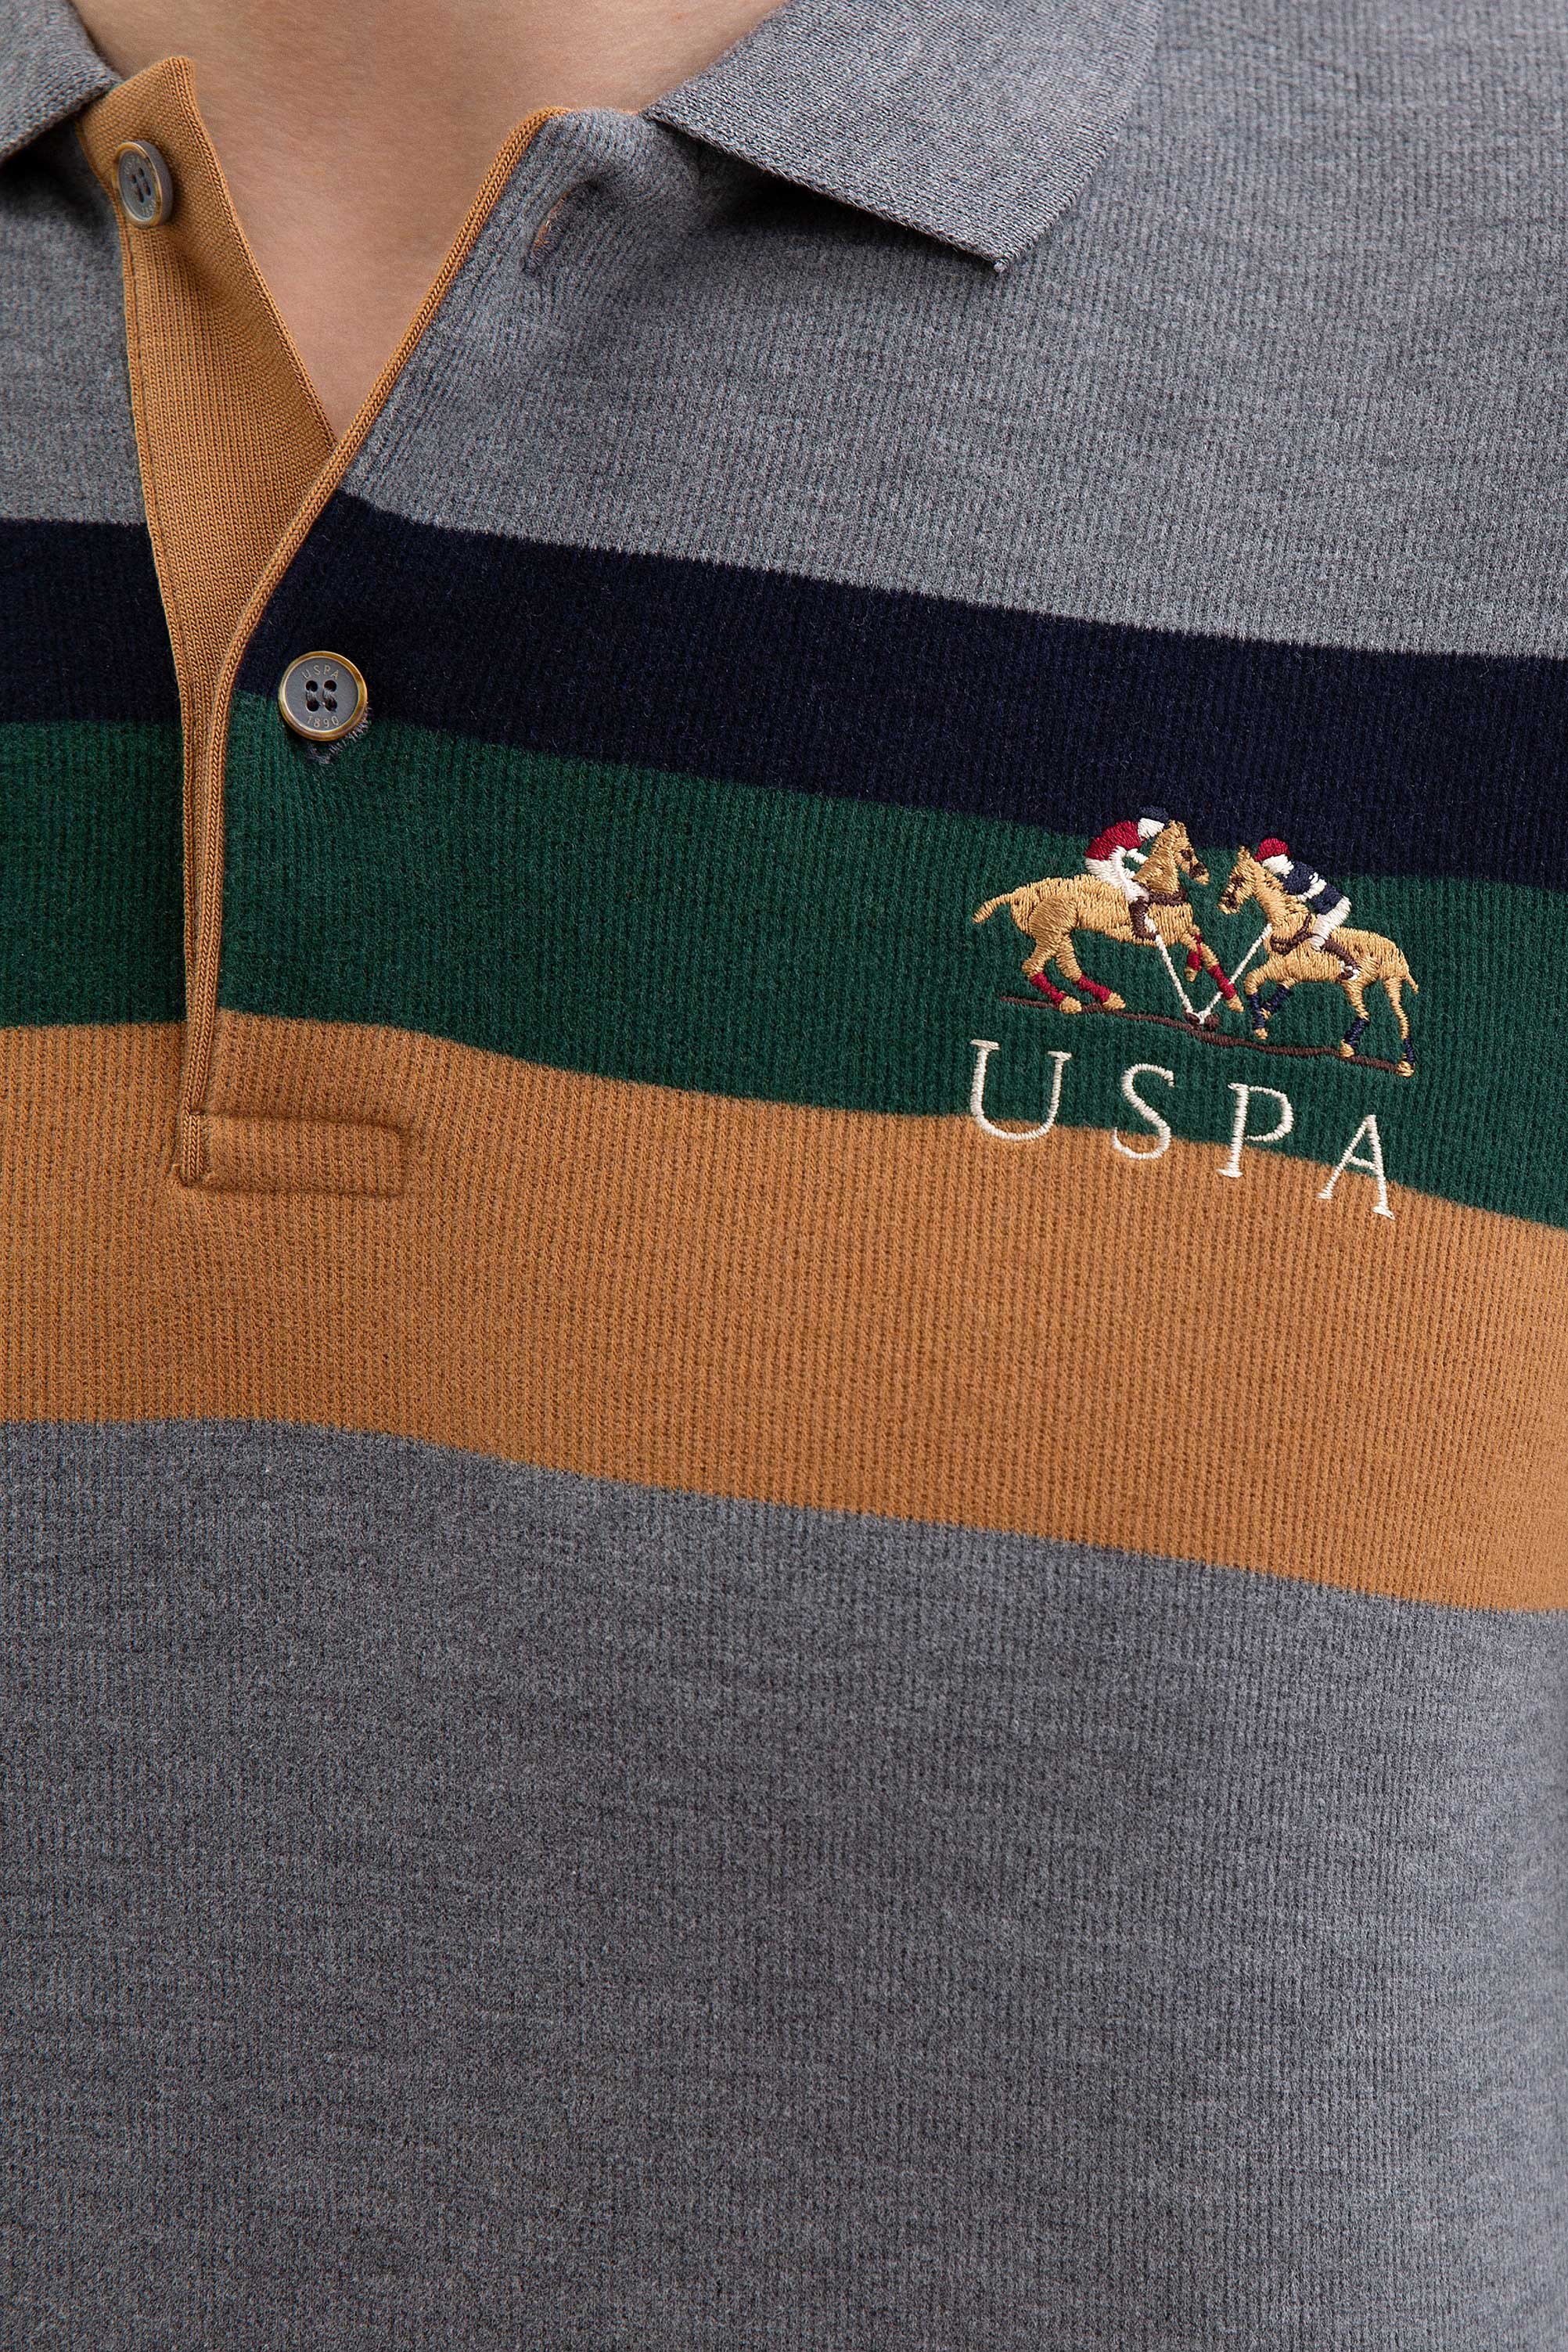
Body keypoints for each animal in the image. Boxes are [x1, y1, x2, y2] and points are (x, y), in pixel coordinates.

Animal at [972, 819, 1242, 1020]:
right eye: (1186, 851)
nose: (1204, 876)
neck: (1161, 891)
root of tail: (1023, 893)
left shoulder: (1185, 928)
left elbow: (1204, 946)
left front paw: (1230, 997)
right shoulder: (1170, 934)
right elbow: (1197, 945)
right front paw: (1193, 974)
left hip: (1060, 934)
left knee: (1070, 969)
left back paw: (1107, 998)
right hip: (1052, 933)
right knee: (1033, 966)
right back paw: (1067, 1001)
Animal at [1217, 846, 1417, 1075]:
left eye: (1239, 879)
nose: (1225, 905)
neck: (1287, 922)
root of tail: (1396, 954)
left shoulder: (1280, 966)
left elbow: (1250, 980)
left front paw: (1259, 1026)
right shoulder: (1292, 973)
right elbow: (1279, 993)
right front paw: (1263, 1015)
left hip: (1355, 984)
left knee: (1366, 1015)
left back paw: (1348, 1047)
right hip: (1392, 985)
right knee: (1402, 1019)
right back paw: (1406, 1063)